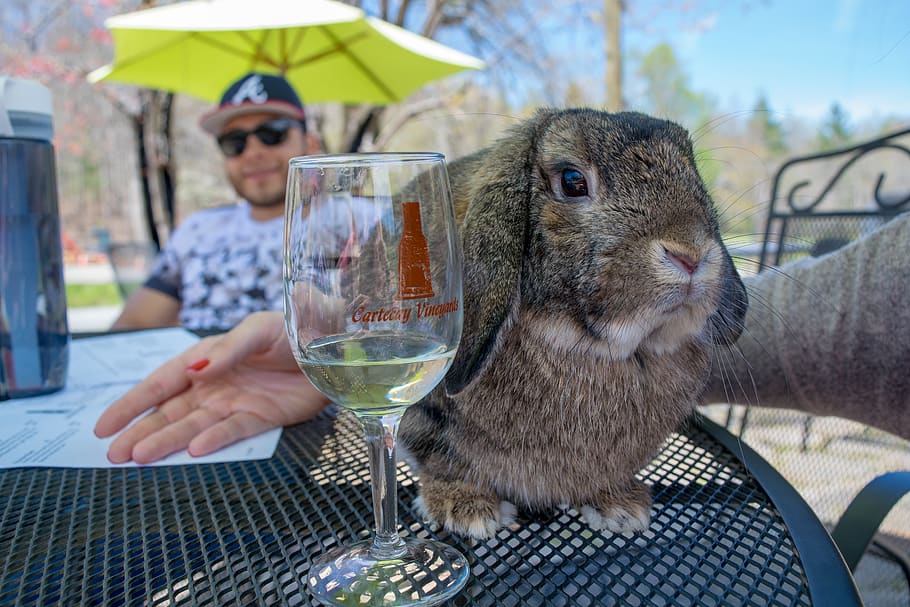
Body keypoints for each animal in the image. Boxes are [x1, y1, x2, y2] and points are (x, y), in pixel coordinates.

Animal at [397, 108, 749, 540]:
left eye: (694, 174)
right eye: (572, 180)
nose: (691, 254)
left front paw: (621, 507)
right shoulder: (420, 415)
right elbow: (439, 458)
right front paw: (466, 508)